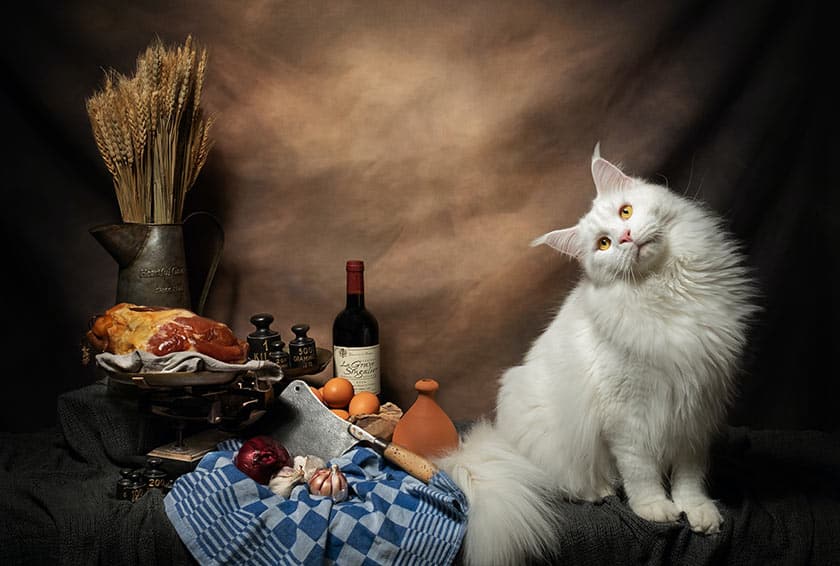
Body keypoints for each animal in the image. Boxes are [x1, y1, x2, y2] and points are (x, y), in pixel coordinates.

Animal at [436, 146, 756, 566]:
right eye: (603, 245)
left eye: (625, 212)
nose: (625, 237)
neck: (669, 291)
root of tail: (499, 438)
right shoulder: (628, 414)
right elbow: (641, 471)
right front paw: (655, 508)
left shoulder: (696, 407)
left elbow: (690, 475)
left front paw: (697, 510)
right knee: (561, 480)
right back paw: (598, 490)